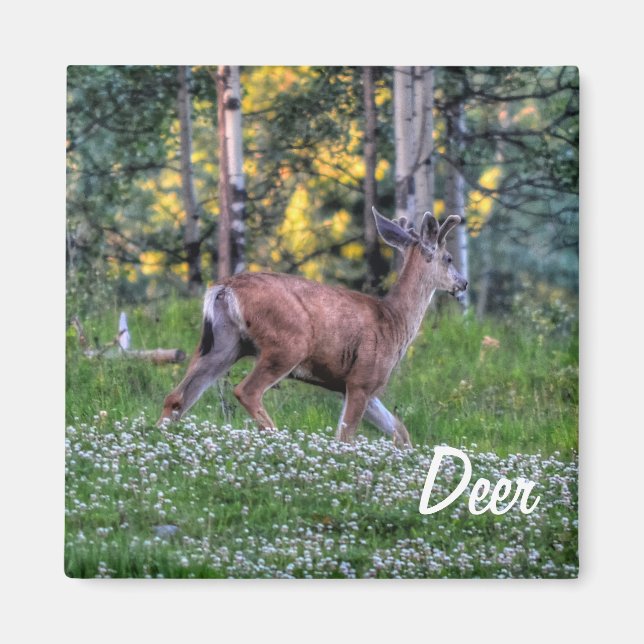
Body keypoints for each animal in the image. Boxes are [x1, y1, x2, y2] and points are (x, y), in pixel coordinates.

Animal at [159, 208, 468, 447]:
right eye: (449, 258)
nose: (463, 283)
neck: (394, 320)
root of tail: (224, 288)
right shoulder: (363, 378)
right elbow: (345, 437)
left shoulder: (358, 385)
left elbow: (400, 431)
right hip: (287, 344)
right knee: (246, 390)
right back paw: (276, 435)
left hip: (224, 343)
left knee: (177, 396)